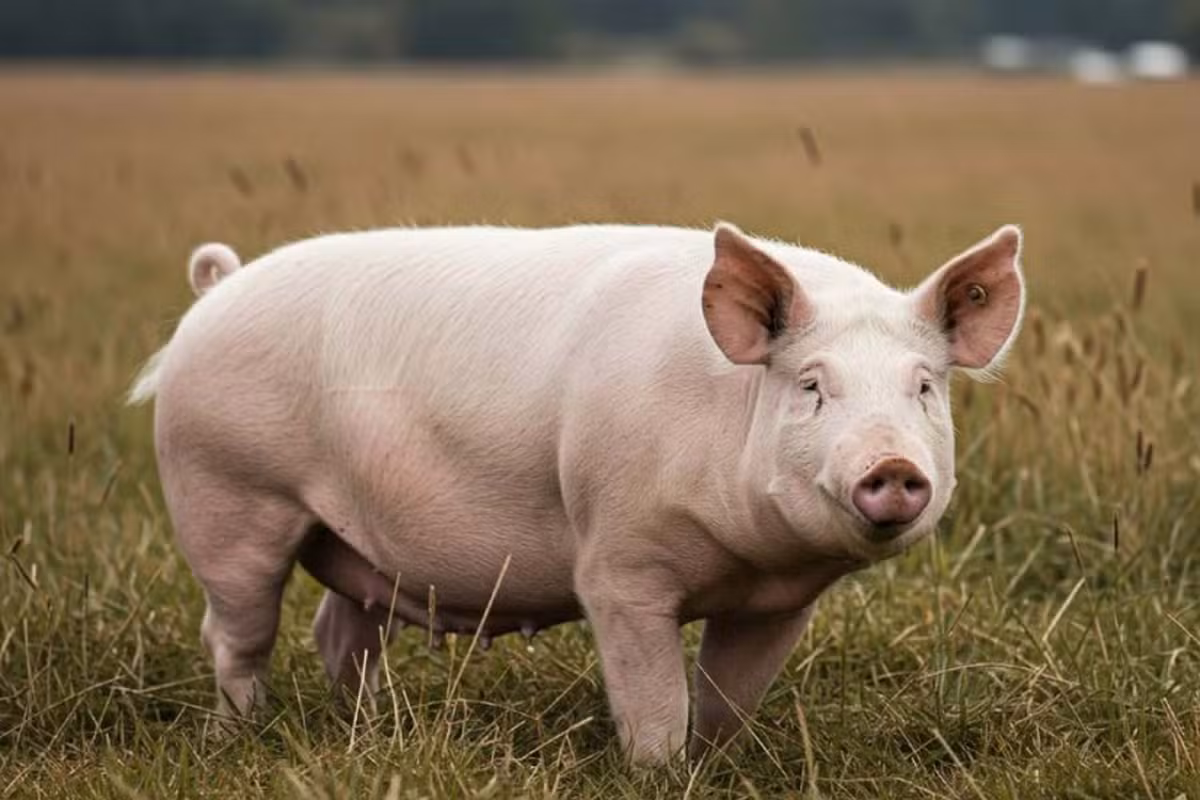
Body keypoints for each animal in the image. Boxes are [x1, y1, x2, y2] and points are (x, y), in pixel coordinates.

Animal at [129, 222, 1025, 763]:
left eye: (923, 388)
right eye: (811, 384)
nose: (893, 466)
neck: (743, 558)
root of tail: (215, 293)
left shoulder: (780, 601)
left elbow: (727, 701)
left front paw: (719, 765)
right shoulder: (619, 569)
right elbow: (654, 704)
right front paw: (663, 771)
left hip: (349, 537)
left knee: (340, 632)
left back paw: (370, 735)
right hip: (228, 493)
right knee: (236, 632)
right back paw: (239, 736)